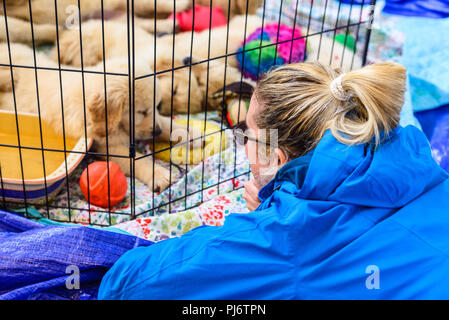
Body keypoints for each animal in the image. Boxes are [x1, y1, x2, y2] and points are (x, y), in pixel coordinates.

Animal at [0, 43, 198, 191]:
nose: (156, 132)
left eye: (157, 106)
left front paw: (189, 133)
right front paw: (159, 175)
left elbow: (166, 122)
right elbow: (138, 160)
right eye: (141, 112)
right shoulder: (108, 145)